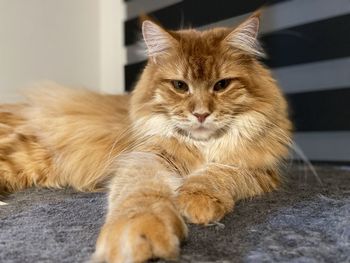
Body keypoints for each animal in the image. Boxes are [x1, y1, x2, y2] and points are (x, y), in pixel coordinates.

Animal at [0, 12, 292, 263]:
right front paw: (139, 233)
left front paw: (198, 202)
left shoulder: (257, 170)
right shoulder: (146, 155)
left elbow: (217, 173)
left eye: (221, 85)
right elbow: (141, 194)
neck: (202, 146)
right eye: (180, 86)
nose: (201, 114)